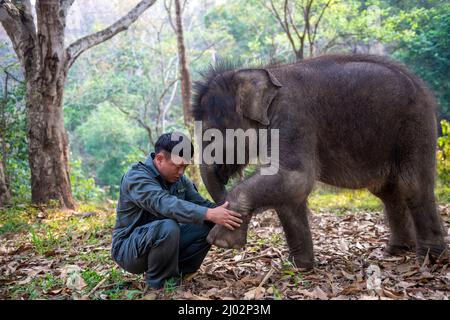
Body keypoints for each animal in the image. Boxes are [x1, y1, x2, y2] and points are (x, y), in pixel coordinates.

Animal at [192, 53, 448, 268]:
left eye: (211, 135)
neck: (263, 74)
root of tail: (420, 84)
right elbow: (289, 192)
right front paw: (299, 266)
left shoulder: (293, 118)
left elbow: (295, 177)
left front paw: (222, 241)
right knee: (388, 191)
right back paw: (397, 251)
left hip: (415, 125)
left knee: (412, 185)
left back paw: (430, 258)